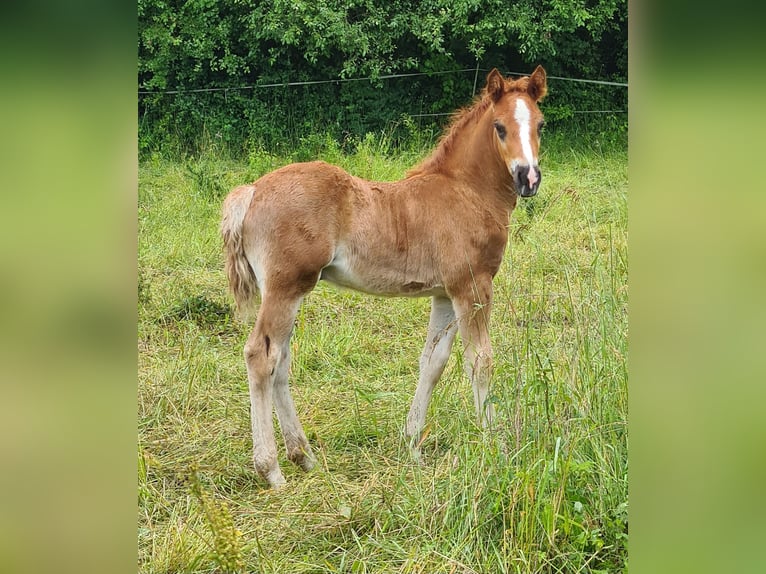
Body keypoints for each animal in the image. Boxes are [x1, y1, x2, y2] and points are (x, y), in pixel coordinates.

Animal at [221, 67, 547, 488]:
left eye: (540, 123)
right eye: (500, 127)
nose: (529, 178)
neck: (466, 192)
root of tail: (252, 190)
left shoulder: (445, 294)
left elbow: (433, 362)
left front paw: (412, 446)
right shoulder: (472, 287)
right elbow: (480, 361)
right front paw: (497, 448)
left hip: (288, 292)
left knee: (282, 360)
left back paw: (304, 456)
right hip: (285, 288)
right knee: (262, 357)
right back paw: (272, 470)